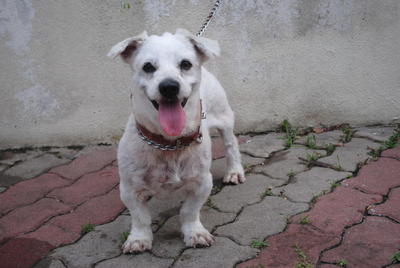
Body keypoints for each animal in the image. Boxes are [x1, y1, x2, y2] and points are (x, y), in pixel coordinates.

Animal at [108, 29, 244, 253]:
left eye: (185, 64)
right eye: (148, 67)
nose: (169, 86)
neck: (169, 144)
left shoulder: (202, 182)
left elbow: (189, 211)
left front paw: (194, 232)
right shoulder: (128, 188)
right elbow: (140, 217)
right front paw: (139, 238)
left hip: (224, 118)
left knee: (231, 145)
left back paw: (234, 171)